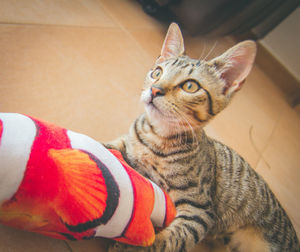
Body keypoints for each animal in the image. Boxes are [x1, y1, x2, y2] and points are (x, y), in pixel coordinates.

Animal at [105, 22, 298, 251]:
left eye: (190, 86)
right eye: (157, 72)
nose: (154, 89)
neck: (157, 137)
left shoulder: (200, 210)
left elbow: (168, 241)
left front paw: (132, 246)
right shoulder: (125, 143)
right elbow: (102, 146)